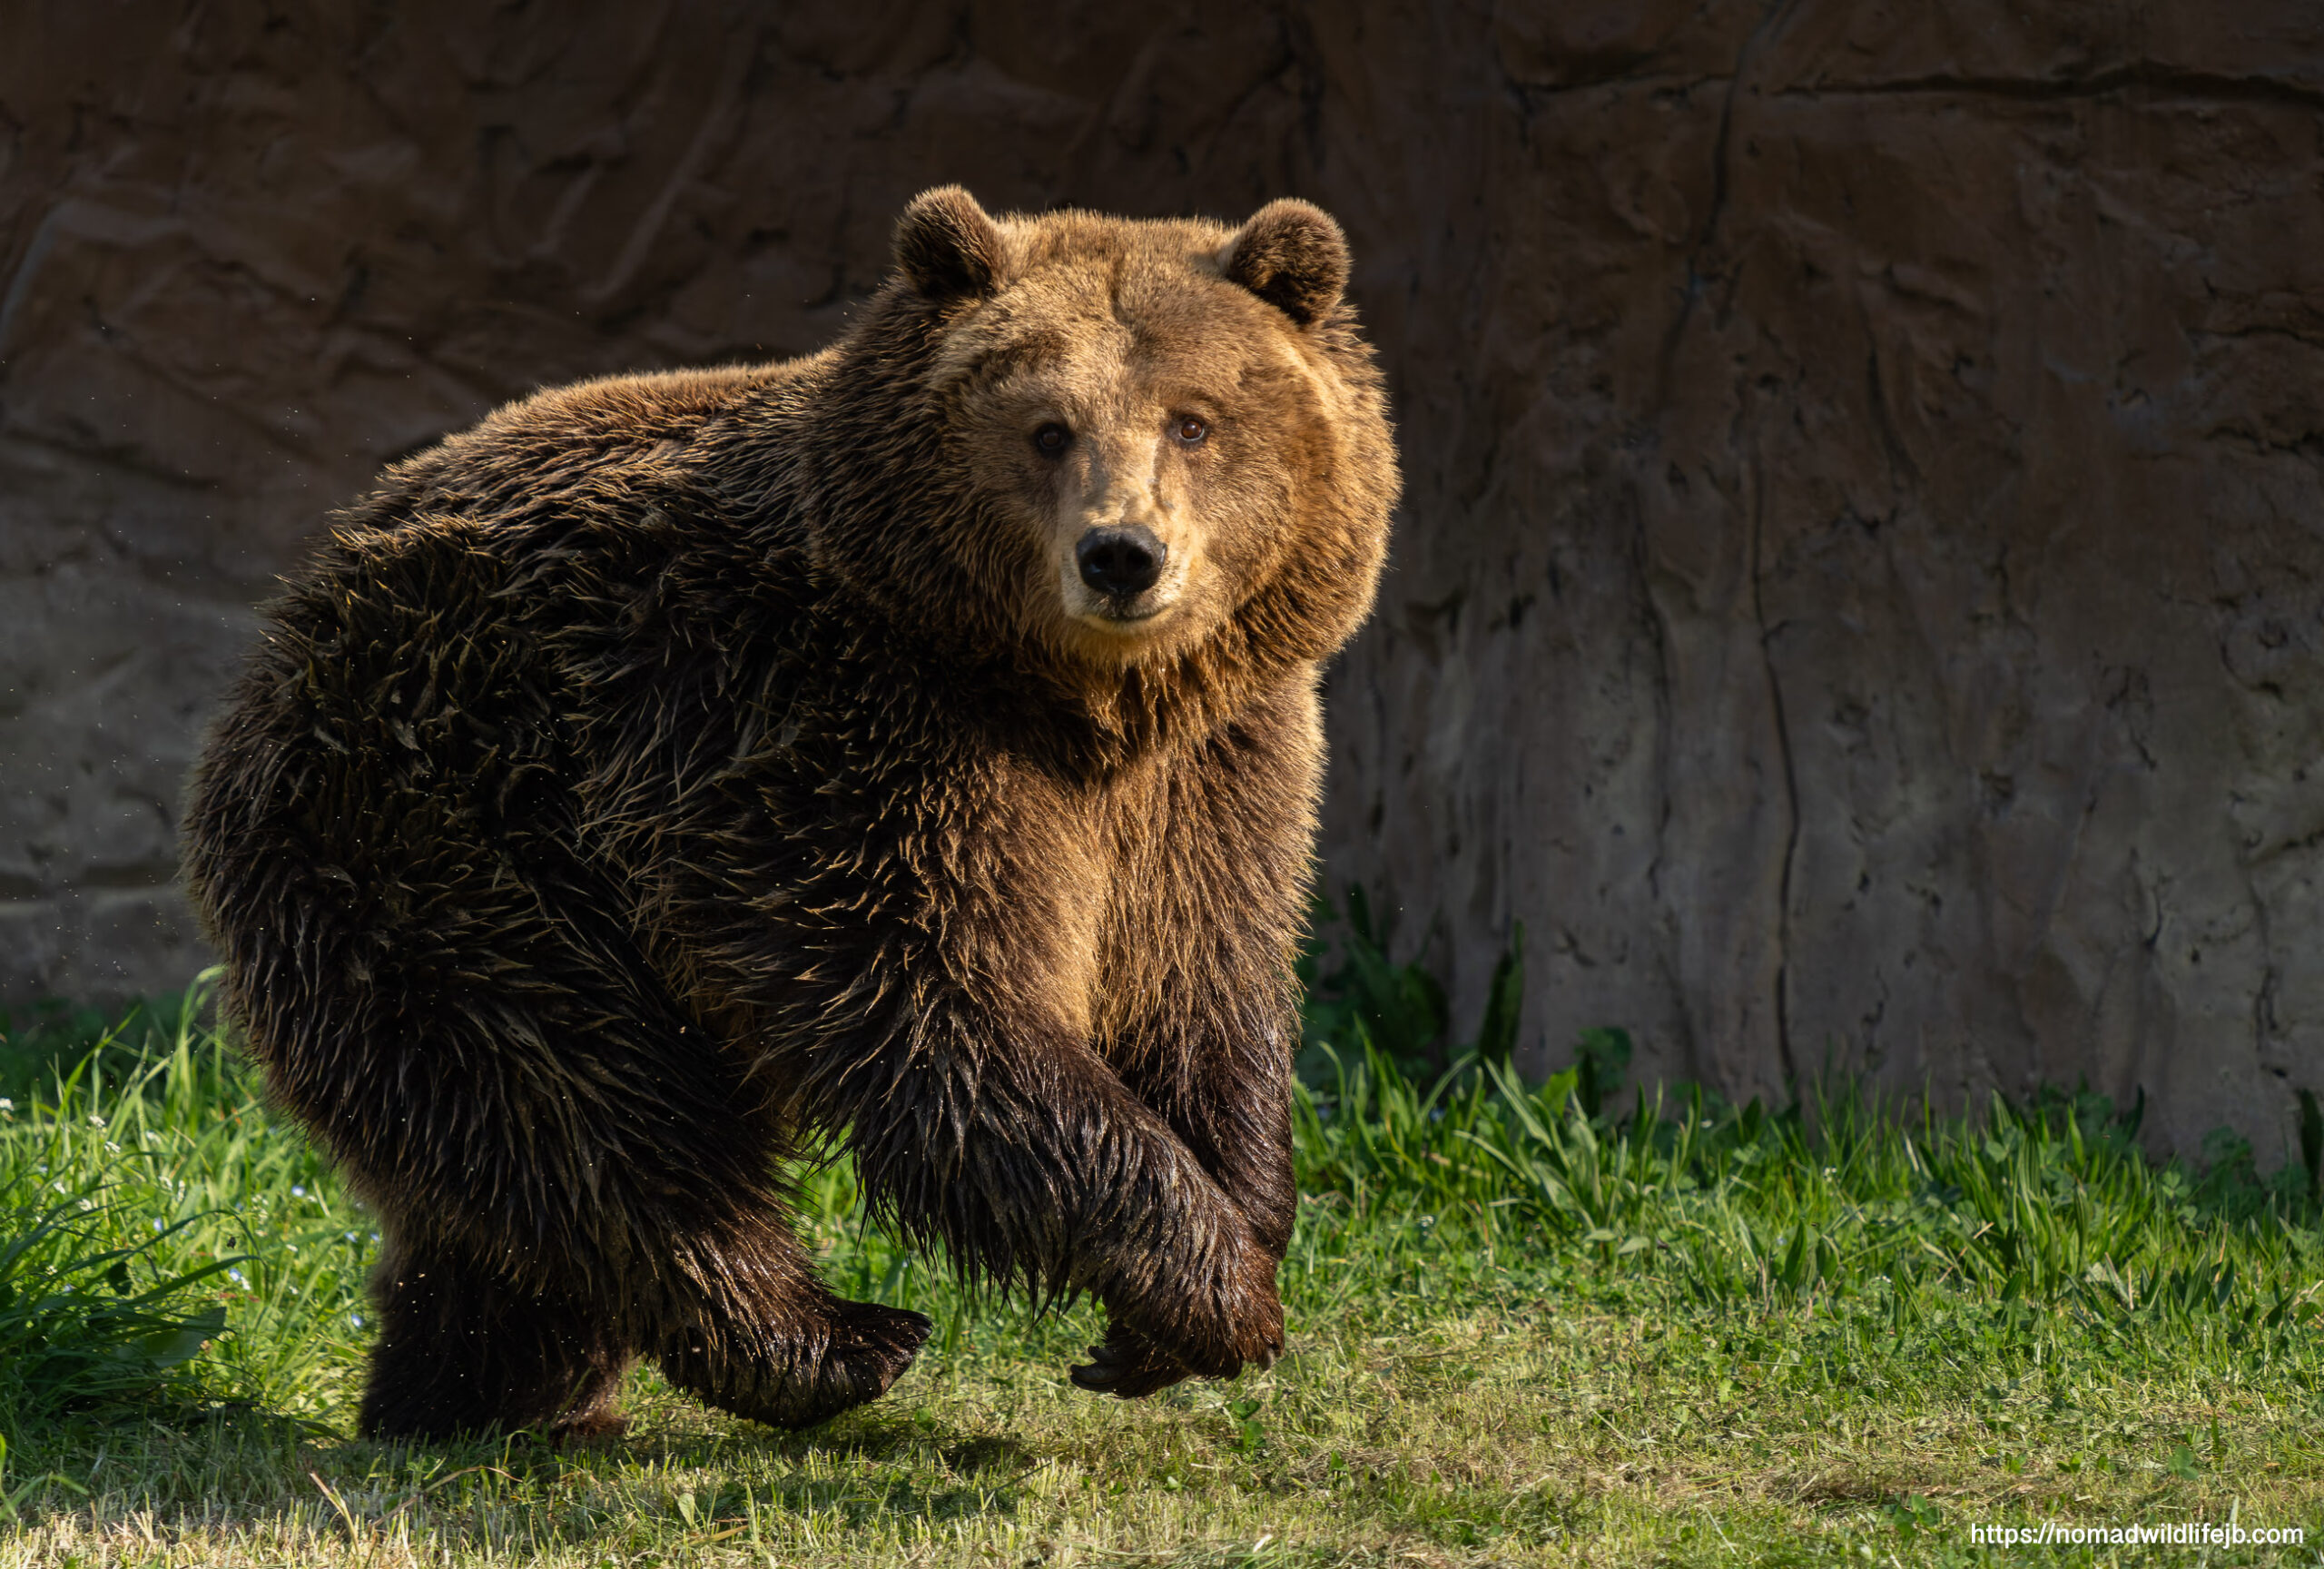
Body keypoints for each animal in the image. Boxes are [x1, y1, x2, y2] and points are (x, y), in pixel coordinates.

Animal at [181, 186, 1397, 1441]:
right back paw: (834, 1339)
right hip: (449, 834)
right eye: (1048, 428)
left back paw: (471, 1390)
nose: (1122, 556)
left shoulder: (1213, 772)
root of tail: (295, 617)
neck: (1070, 703)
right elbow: (935, 1006)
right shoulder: (825, 734)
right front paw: (1210, 1288)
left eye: (1194, 422)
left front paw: (1208, 1261)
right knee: (585, 1104)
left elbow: (1207, 990)